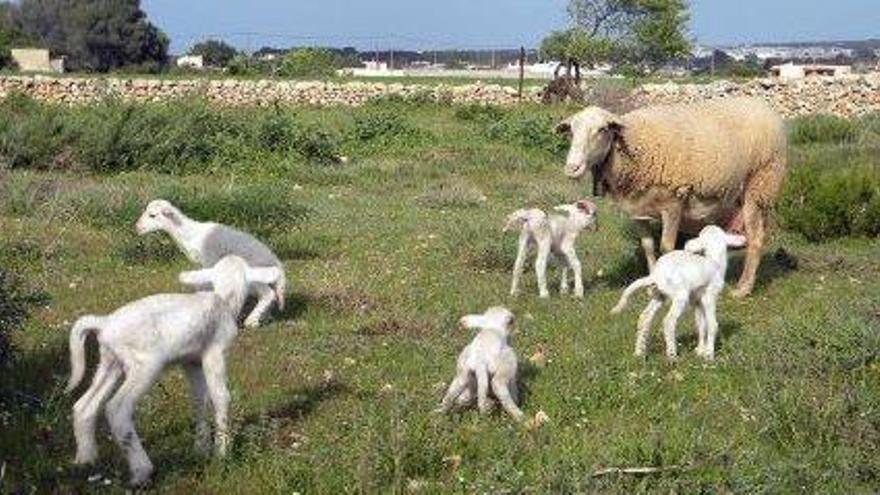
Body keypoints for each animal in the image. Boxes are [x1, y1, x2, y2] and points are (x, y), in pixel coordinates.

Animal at [65, 256, 282, 488]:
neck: (223, 300)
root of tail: (104, 324)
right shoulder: (215, 351)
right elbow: (221, 397)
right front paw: (222, 453)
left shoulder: (191, 362)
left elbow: (199, 399)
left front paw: (201, 449)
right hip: (144, 363)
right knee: (117, 408)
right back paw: (142, 470)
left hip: (110, 362)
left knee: (84, 405)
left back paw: (86, 459)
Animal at [135, 198, 286, 330]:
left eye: (152, 215)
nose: (137, 227)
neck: (190, 234)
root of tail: (276, 263)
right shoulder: (201, 266)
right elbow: (200, 286)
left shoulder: (209, 261)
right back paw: (263, 317)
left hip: (254, 273)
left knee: (268, 294)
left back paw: (251, 320)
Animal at [560, 97, 788, 298]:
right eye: (571, 130)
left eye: (602, 129)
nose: (572, 168)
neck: (631, 147)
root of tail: (762, 105)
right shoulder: (639, 211)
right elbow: (648, 247)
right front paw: (651, 285)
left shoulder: (673, 204)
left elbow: (666, 248)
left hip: (759, 186)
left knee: (756, 239)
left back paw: (743, 289)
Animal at [612, 225, 748, 360]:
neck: (714, 261)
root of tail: (656, 275)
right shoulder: (709, 296)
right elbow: (712, 324)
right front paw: (709, 354)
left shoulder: (696, 301)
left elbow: (701, 324)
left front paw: (700, 350)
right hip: (680, 296)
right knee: (668, 321)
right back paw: (672, 355)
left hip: (659, 295)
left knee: (644, 318)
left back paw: (639, 352)